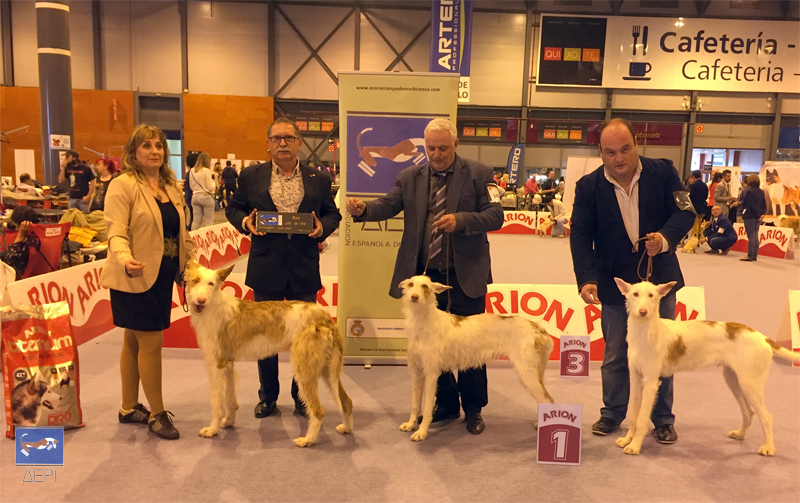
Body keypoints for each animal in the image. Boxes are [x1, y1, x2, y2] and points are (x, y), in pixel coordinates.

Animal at [184, 262, 353, 447]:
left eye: (211, 284)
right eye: (195, 281)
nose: (201, 300)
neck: (213, 306)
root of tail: (325, 317)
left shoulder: (217, 366)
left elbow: (216, 403)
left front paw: (212, 430)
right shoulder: (227, 365)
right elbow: (229, 399)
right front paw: (228, 422)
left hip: (304, 369)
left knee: (318, 411)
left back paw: (308, 439)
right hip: (327, 370)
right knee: (346, 401)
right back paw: (346, 428)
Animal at [398, 275, 555, 441]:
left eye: (425, 287)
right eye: (410, 284)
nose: (414, 297)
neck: (422, 320)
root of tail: (538, 327)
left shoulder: (431, 373)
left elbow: (427, 407)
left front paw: (421, 432)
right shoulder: (417, 371)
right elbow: (415, 403)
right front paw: (411, 424)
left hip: (527, 374)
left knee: (547, 401)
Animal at [614, 278, 800, 456]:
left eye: (651, 295)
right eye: (635, 294)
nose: (642, 312)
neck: (645, 332)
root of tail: (762, 337)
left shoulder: (651, 383)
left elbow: (642, 418)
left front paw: (635, 446)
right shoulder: (636, 379)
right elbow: (632, 414)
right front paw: (627, 439)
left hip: (750, 384)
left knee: (767, 418)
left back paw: (768, 448)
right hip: (734, 380)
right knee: (748, 412)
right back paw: (740, 434)